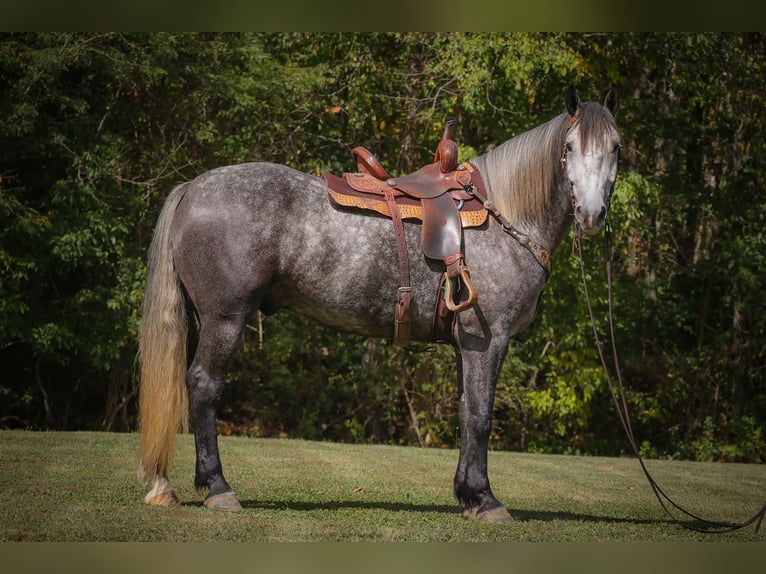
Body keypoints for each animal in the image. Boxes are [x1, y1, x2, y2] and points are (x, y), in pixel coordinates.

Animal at [137, 87, 621, 523]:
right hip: (225, 319)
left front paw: (467, 495)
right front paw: (485, 500)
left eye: (616, 147)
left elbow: (466, 413)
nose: (592, 214)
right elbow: (481, 416)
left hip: (201, 320)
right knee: (203, 386)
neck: (505, 215)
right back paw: (218, 487)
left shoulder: (467, 346)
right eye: (570, 148)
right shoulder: (488, 340)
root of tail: (193, 188)